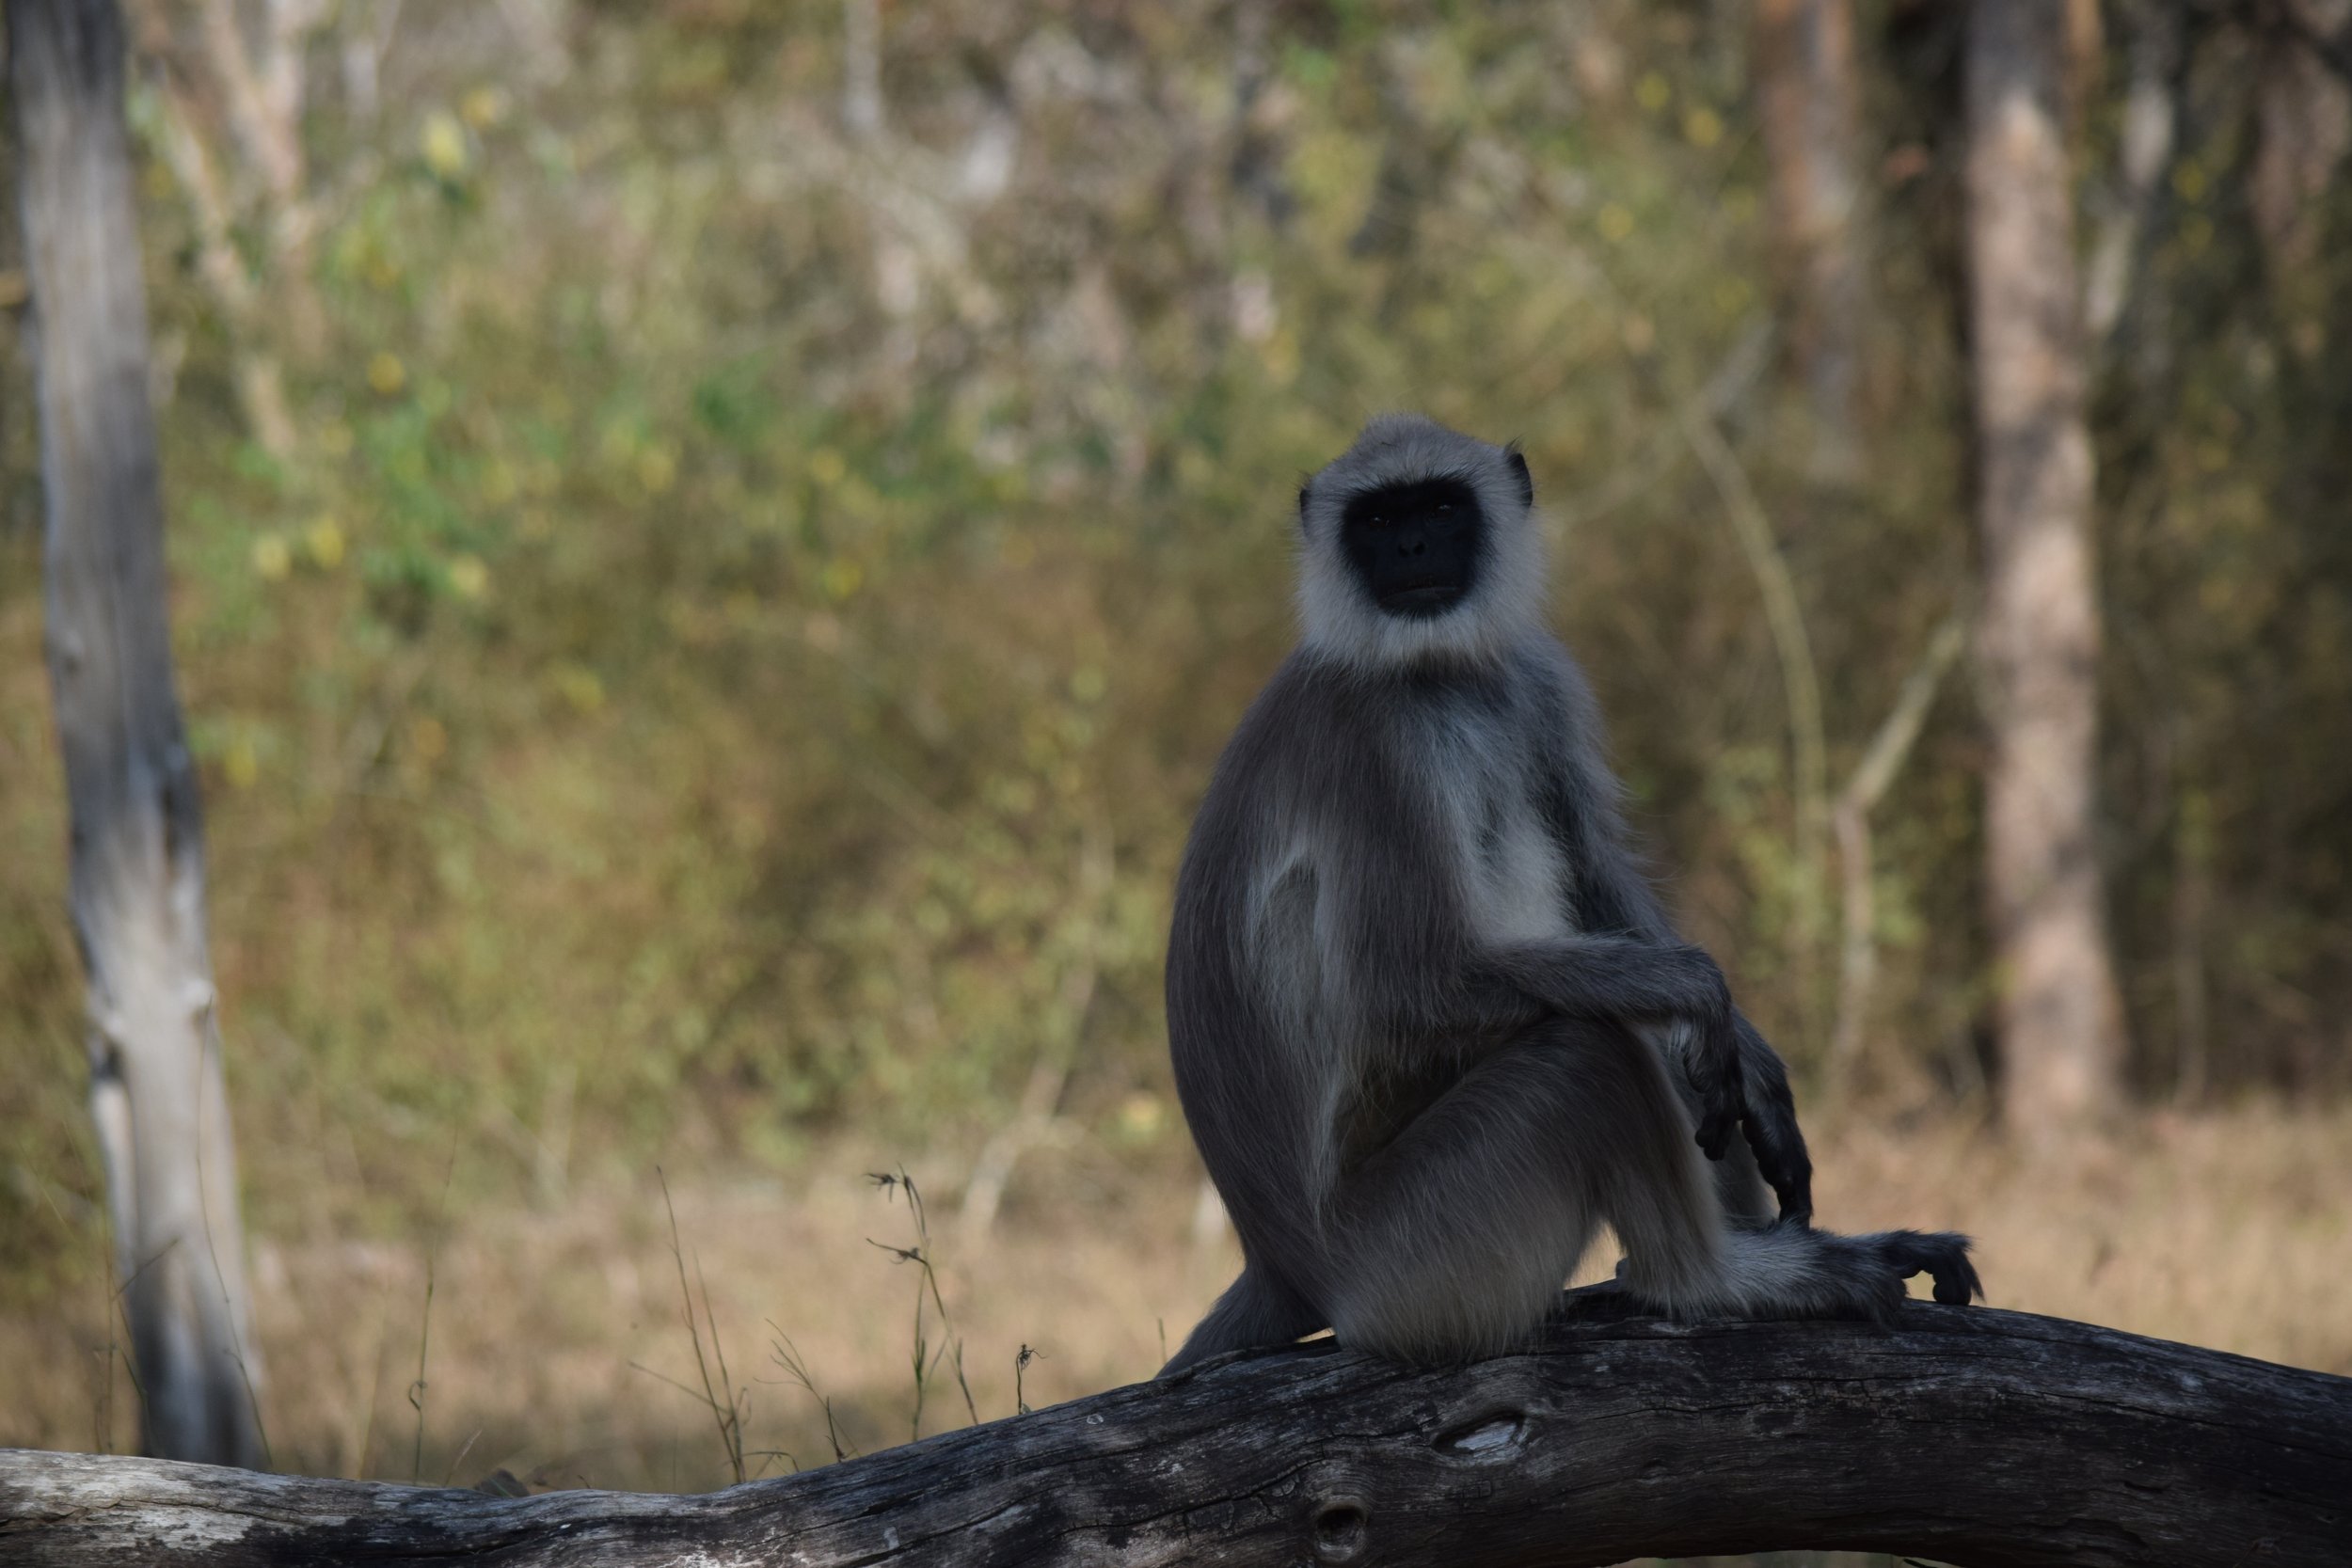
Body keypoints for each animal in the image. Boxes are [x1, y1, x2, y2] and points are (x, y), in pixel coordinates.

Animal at [1160, 415, 1978, 1374]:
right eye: (1378, 519)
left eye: (1441, 506)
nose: (1411, 547)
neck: (1439, 670)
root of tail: (1283, 1264)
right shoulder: (1370, 743)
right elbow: (1412, 987)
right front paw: (1704, 990)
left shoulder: (1536, 679)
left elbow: (1594, 877)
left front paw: (1757, 1062)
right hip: (1412, 1261)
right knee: (1588, 1050)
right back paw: (1716, 1279)